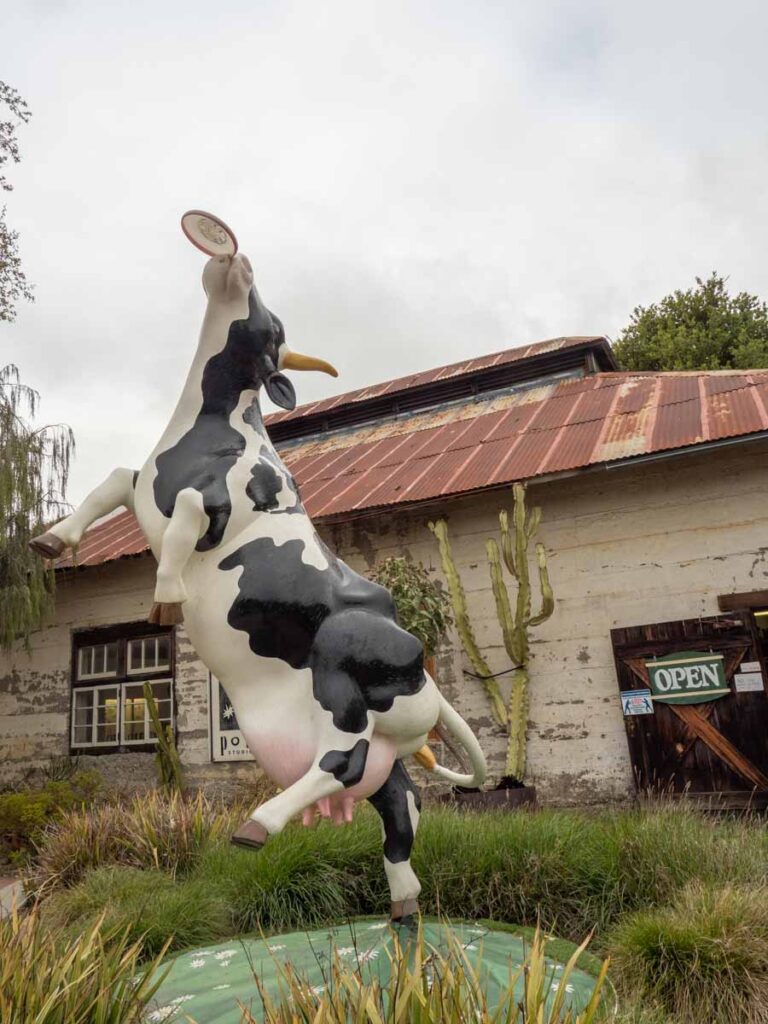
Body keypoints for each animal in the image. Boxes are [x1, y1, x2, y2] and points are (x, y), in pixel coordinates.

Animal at [33, 245, 487, 921]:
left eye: (275, 328)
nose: (237, 258)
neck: (201, 428)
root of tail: (425, 670)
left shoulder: (217, 504)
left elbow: (188, 511)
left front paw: (167, 595)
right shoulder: (144, 486)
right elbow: (113, 479)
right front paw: (51, 540)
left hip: (341, 670)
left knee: (343, 761)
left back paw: (259, 824)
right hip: (376, 746)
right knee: (398, 802)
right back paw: (403, 899)